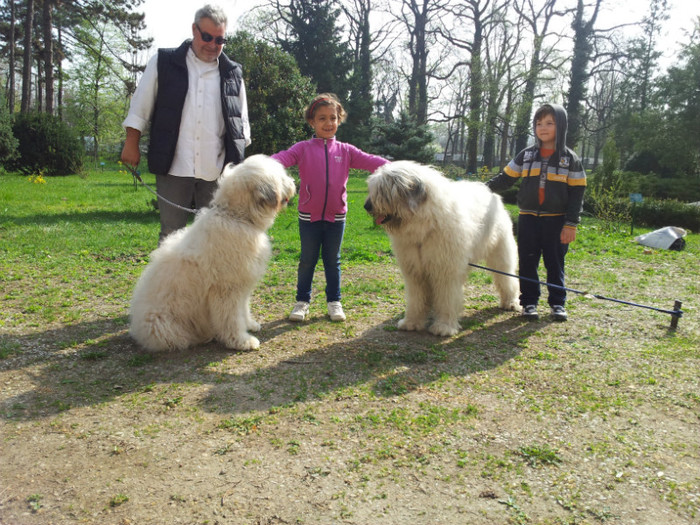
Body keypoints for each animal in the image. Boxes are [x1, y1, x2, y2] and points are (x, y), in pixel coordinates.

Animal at [130, 156, 296, 352]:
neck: (235, 217)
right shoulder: (226, 289)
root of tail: (138, 329)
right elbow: (231, 318)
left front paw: (249, 324)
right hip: (164, 325)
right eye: (281, 176)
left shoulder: (242, 285)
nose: (294, 183)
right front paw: (241, 341)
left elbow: (243, 309)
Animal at [366, 160, 520, 336]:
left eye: (384, 190)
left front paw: (444, 326)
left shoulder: (445, 270)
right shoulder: (414, 272)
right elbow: (416, 299)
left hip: (501, 255)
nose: (366, 206)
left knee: (507, 279)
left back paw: (511, 302)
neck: (425, 227)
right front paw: (412, 322)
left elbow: (447, 298)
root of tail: (491, 194)